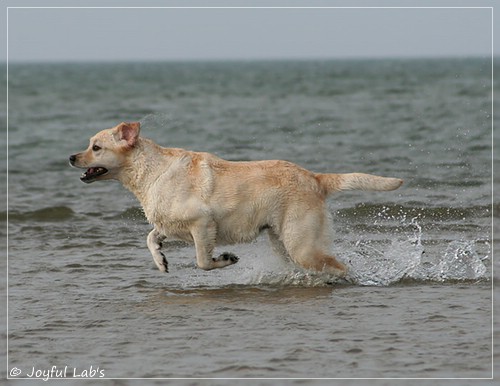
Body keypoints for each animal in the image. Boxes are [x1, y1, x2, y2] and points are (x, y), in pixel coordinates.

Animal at [69, 122, 402, 276]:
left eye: (96, 147)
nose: (71, 157)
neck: (150, 171)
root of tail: (315, 177)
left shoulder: (202, 224)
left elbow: (203, 261)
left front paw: (225, 259)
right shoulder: (169, 223)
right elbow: (151, 237)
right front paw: (161, 260)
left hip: (301, 244)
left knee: (340, 267)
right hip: (283, 242)